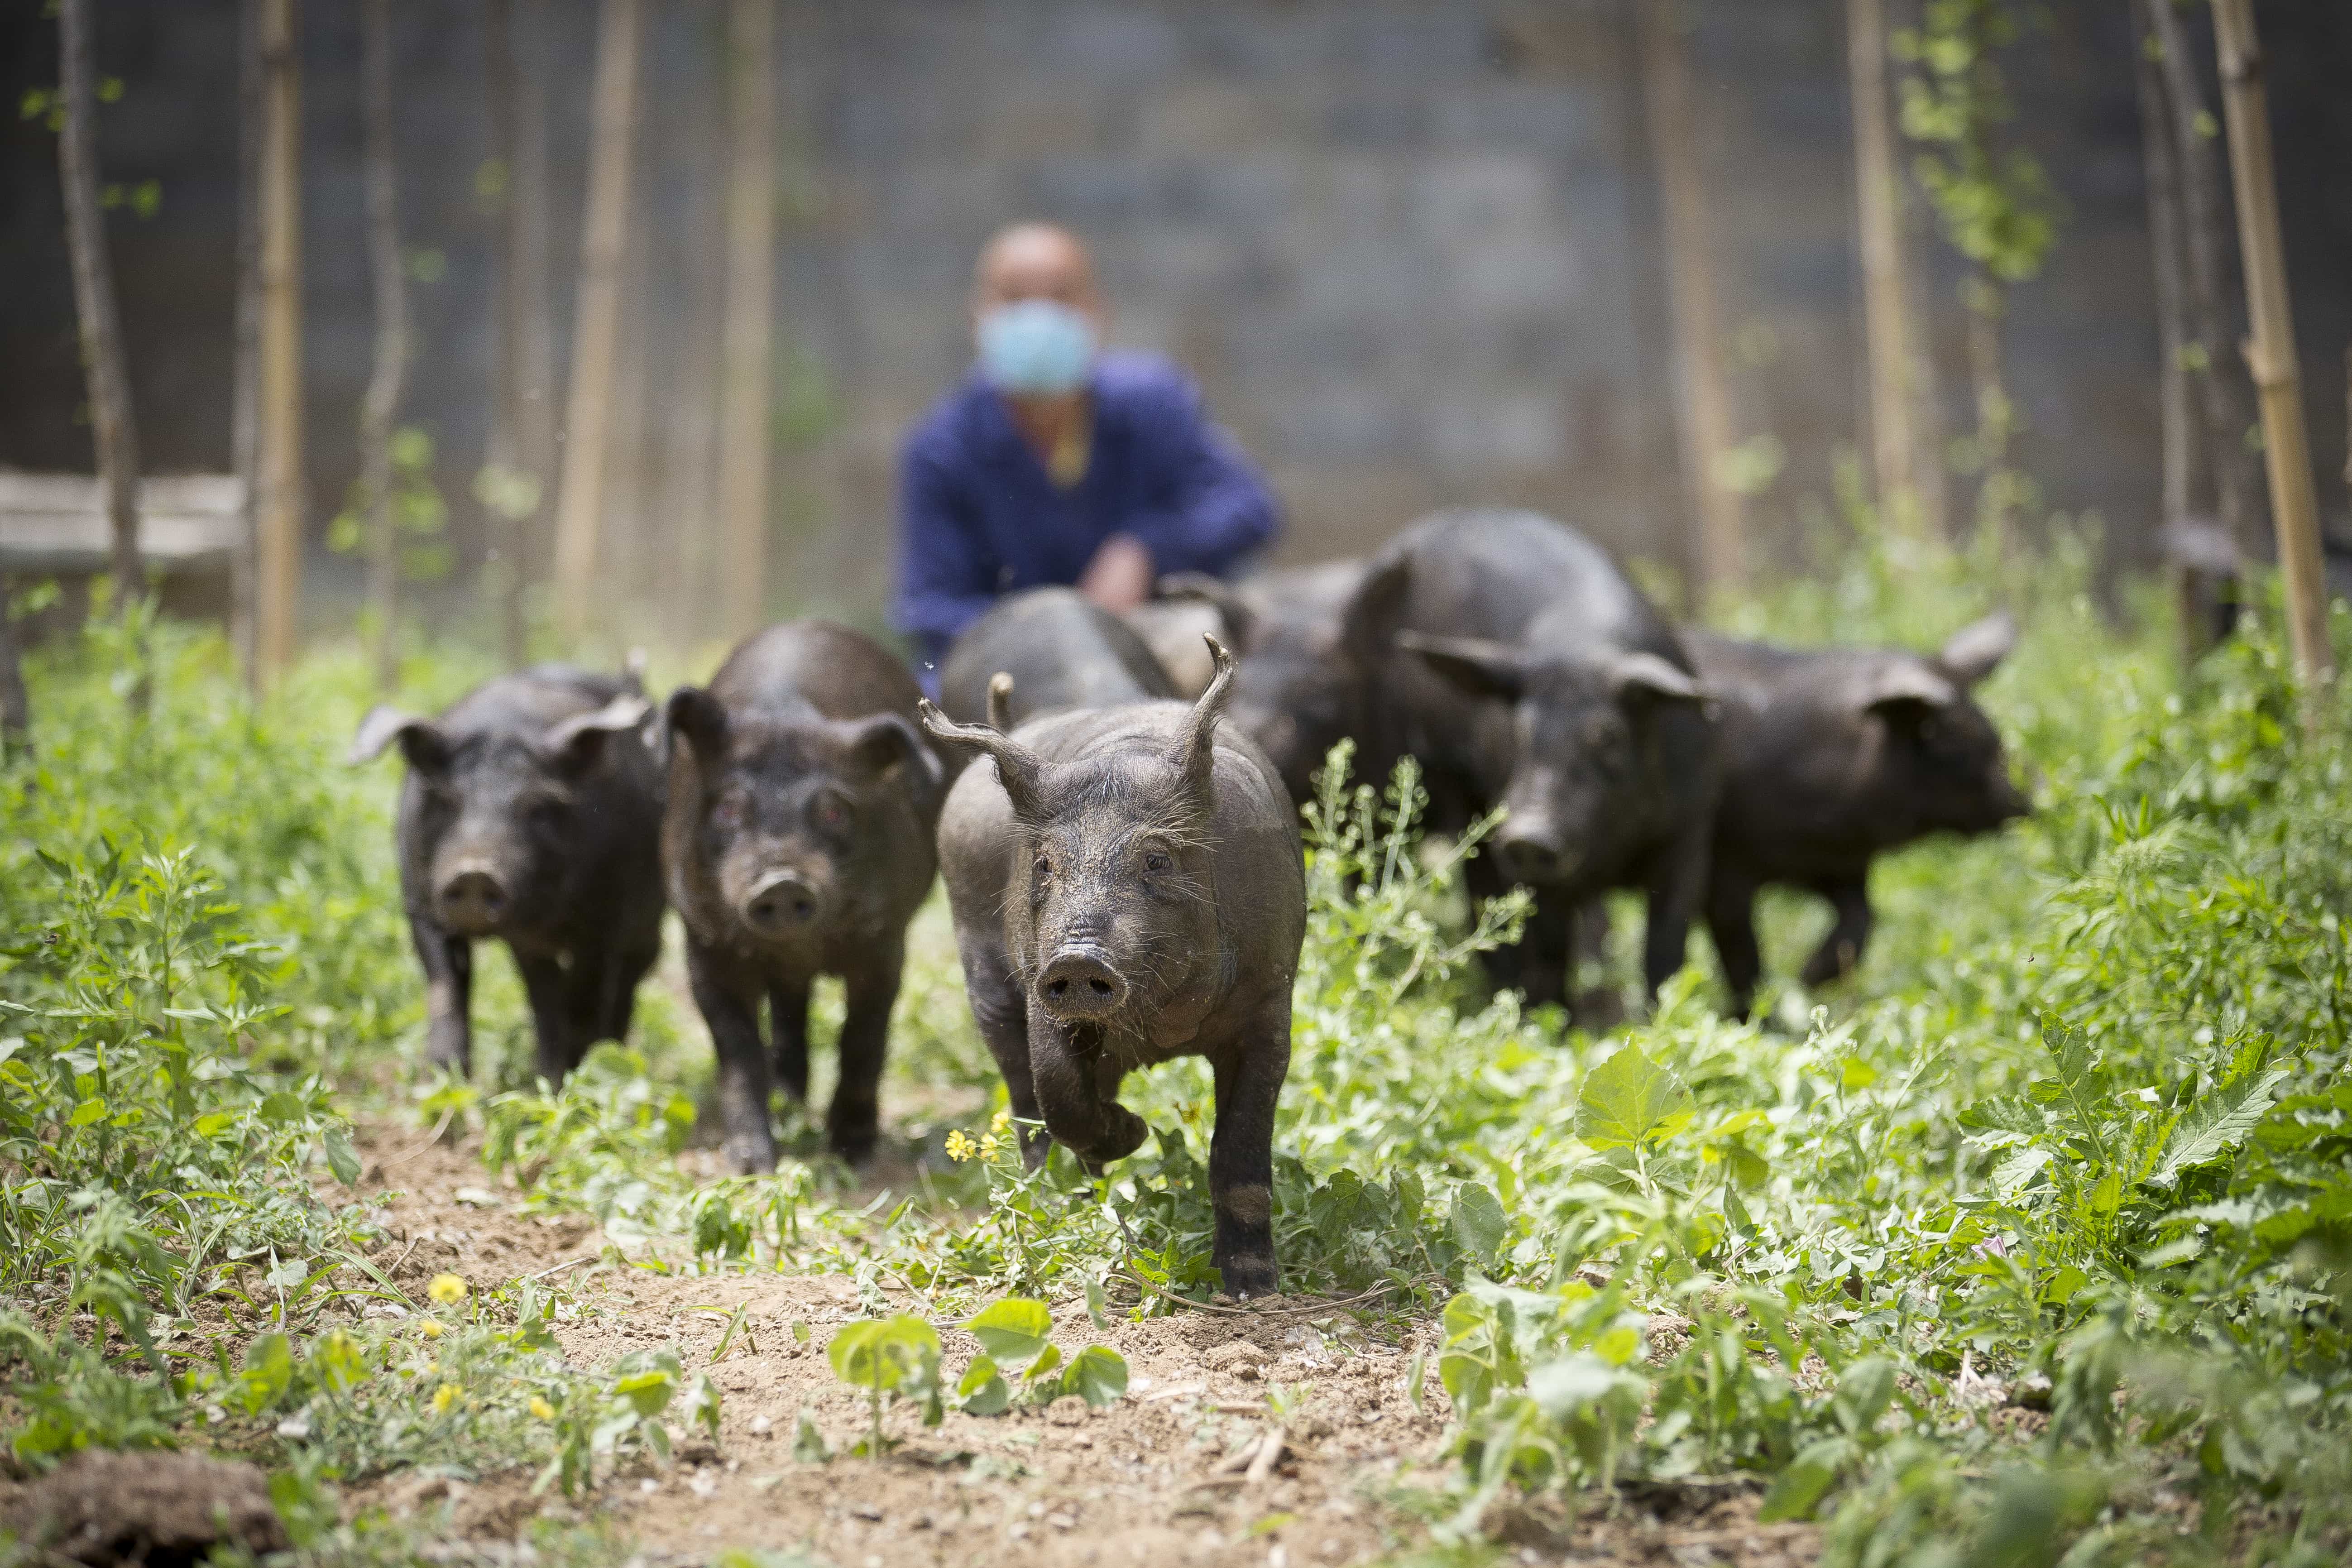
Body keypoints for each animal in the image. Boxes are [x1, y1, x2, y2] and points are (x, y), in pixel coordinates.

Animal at [349, 666, 664, 1083]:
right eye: (446, 799)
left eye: (537, 806)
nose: (475, 873)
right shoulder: (419, 902)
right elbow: (446, 988)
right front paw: (444, 1080)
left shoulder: (603, 918)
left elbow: (584, 998)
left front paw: (580, 1073)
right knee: (543, 994)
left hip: (647, 925)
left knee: (623, 984)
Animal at [661, 622, 945, 1172]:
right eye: (729, 807)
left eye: (834, 809)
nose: (781, 881)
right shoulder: (704, 943)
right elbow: (738, 1053)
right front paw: (752, 1165)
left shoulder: (883, 940)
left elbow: (863, 1038)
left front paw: (852, 1153)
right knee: (788, 1013)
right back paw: (789, 1101)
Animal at [920, 639, 1304, 1298]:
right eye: (1045, 864)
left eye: (1156, 859)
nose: (1078, 957)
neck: (1166, 1028)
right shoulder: (1041, 993)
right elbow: (1058, 1096)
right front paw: (1137, 1132)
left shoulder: (1269, 1003)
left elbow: (1240, 1148)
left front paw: (1250, 1289)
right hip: (987, 988)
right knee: (1027, 1108)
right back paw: (1065, 1202)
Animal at [1372, 510, 1720, 1013]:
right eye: (1522, 732)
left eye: (1608, 738)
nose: (1528, 835)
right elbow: (1552, 947)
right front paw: (1551, 1019)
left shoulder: (1691, 832)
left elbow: (1665, 950)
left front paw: (1656, 1017)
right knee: (1484, 890)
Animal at [1685, 613, 2028, 1017]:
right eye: (1949, 741)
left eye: (1991, 730)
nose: (2035, 794)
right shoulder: (1727, 868)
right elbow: (1741, 955)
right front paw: (1762, 1013)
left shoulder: (1840, 866)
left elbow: (1862, 922)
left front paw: (1804, 977)